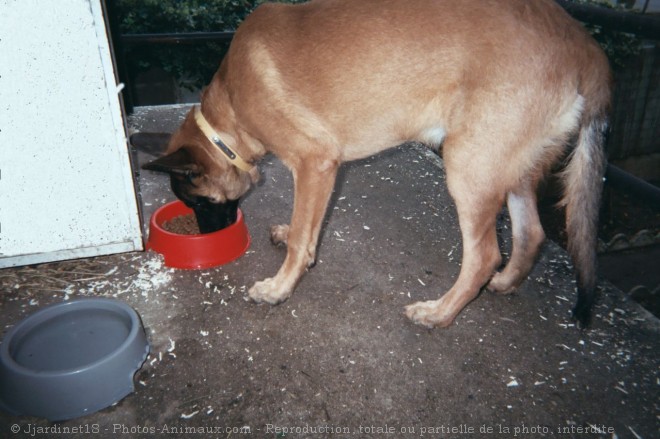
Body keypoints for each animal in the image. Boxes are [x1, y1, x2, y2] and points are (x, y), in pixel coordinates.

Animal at [142, 0, 612, 328]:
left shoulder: (315, 164)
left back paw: (439, 313)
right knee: (532, 235)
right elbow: (306, 228)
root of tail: (583, 45)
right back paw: (504, 284)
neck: (230, 115)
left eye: (198, 204)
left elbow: (301, 240)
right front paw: (290, 236)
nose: (209, 235)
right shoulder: (321, 175)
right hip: (509, 169)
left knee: (484, 256)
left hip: (470, 169)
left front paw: (279, 287)